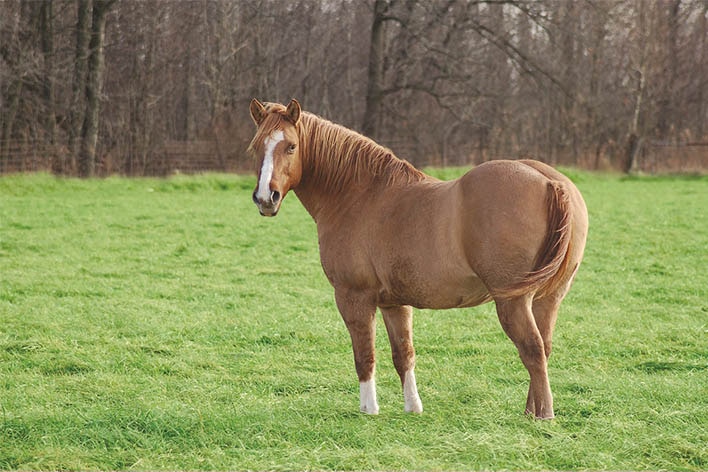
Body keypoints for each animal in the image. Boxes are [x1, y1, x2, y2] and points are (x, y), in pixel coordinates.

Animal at [246, 97, 588, 418]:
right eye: (256, 147)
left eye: (291, 146)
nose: (265, 198)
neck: (359, 195)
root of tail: (549, 182)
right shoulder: (394, 303)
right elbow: (404, 355)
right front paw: (413, 407)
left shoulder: (353, 297)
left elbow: (364, 355)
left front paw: (369, 409)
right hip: (548, 299)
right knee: (543, 348)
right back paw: (532, 410)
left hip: (513, 301)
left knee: (532, 350)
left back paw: (543, 416)